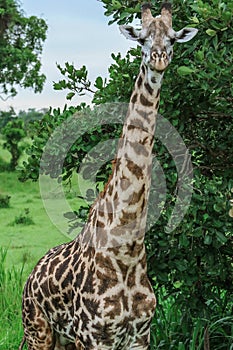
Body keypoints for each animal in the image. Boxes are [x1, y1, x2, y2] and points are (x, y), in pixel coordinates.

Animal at [19, 3, 197, 350]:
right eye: (141, 38)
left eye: (171, 38)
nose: (158, 59)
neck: (127, 250)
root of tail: (31, 276)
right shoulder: (92, 337)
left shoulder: (139, 337)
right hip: (38, 331)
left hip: (61, 339)